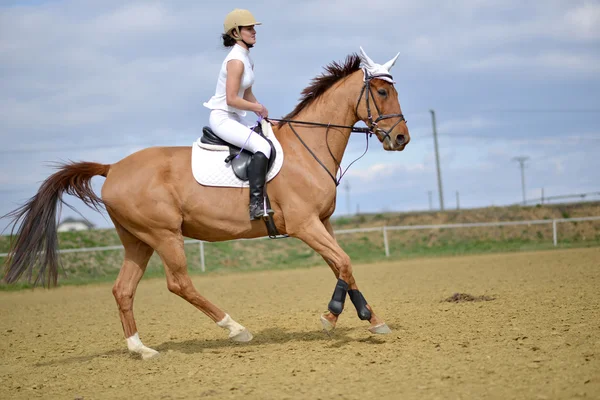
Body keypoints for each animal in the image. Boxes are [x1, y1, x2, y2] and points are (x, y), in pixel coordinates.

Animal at [2, 47, 408, 360]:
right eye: (381, 93)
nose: (401, 139)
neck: (307, 149)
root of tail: (113, 167)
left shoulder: (322, 223)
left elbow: (342, 266)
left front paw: (370, 319)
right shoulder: (304, 224)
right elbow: (344, 262)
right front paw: (333, 317)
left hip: (137, 240)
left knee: (123, 289)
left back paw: (141, 350)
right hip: (164, 234)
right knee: (179, 283)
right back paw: (236, 328)